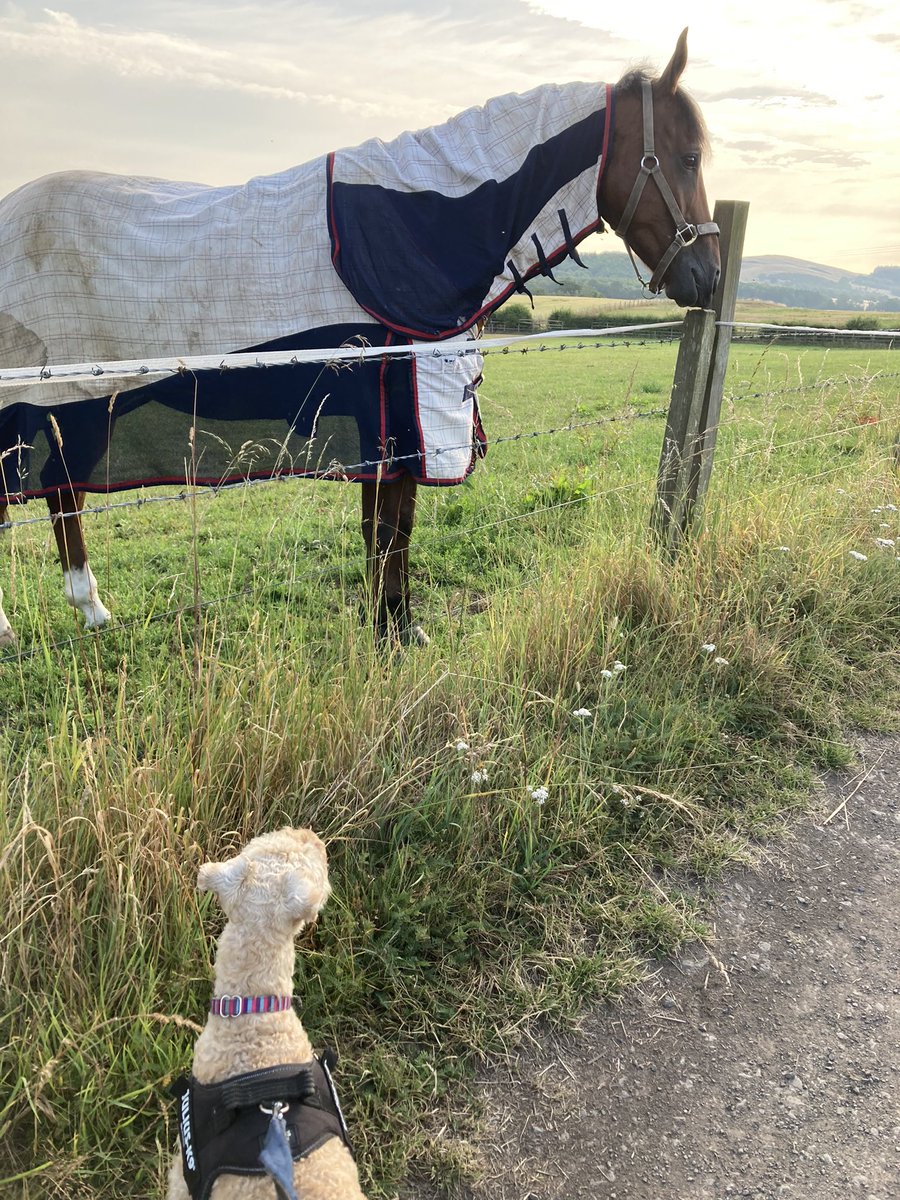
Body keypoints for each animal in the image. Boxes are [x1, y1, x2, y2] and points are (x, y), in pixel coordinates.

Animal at [0, 28, 720, 648]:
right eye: (687, 157)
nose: (707, 277)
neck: (424, 223)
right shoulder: (396, 414)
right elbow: (387, 531)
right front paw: (392, 630)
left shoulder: (411, 417)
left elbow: (395, 528)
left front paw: (397, 627)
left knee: (58, 490)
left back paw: (89, 609)